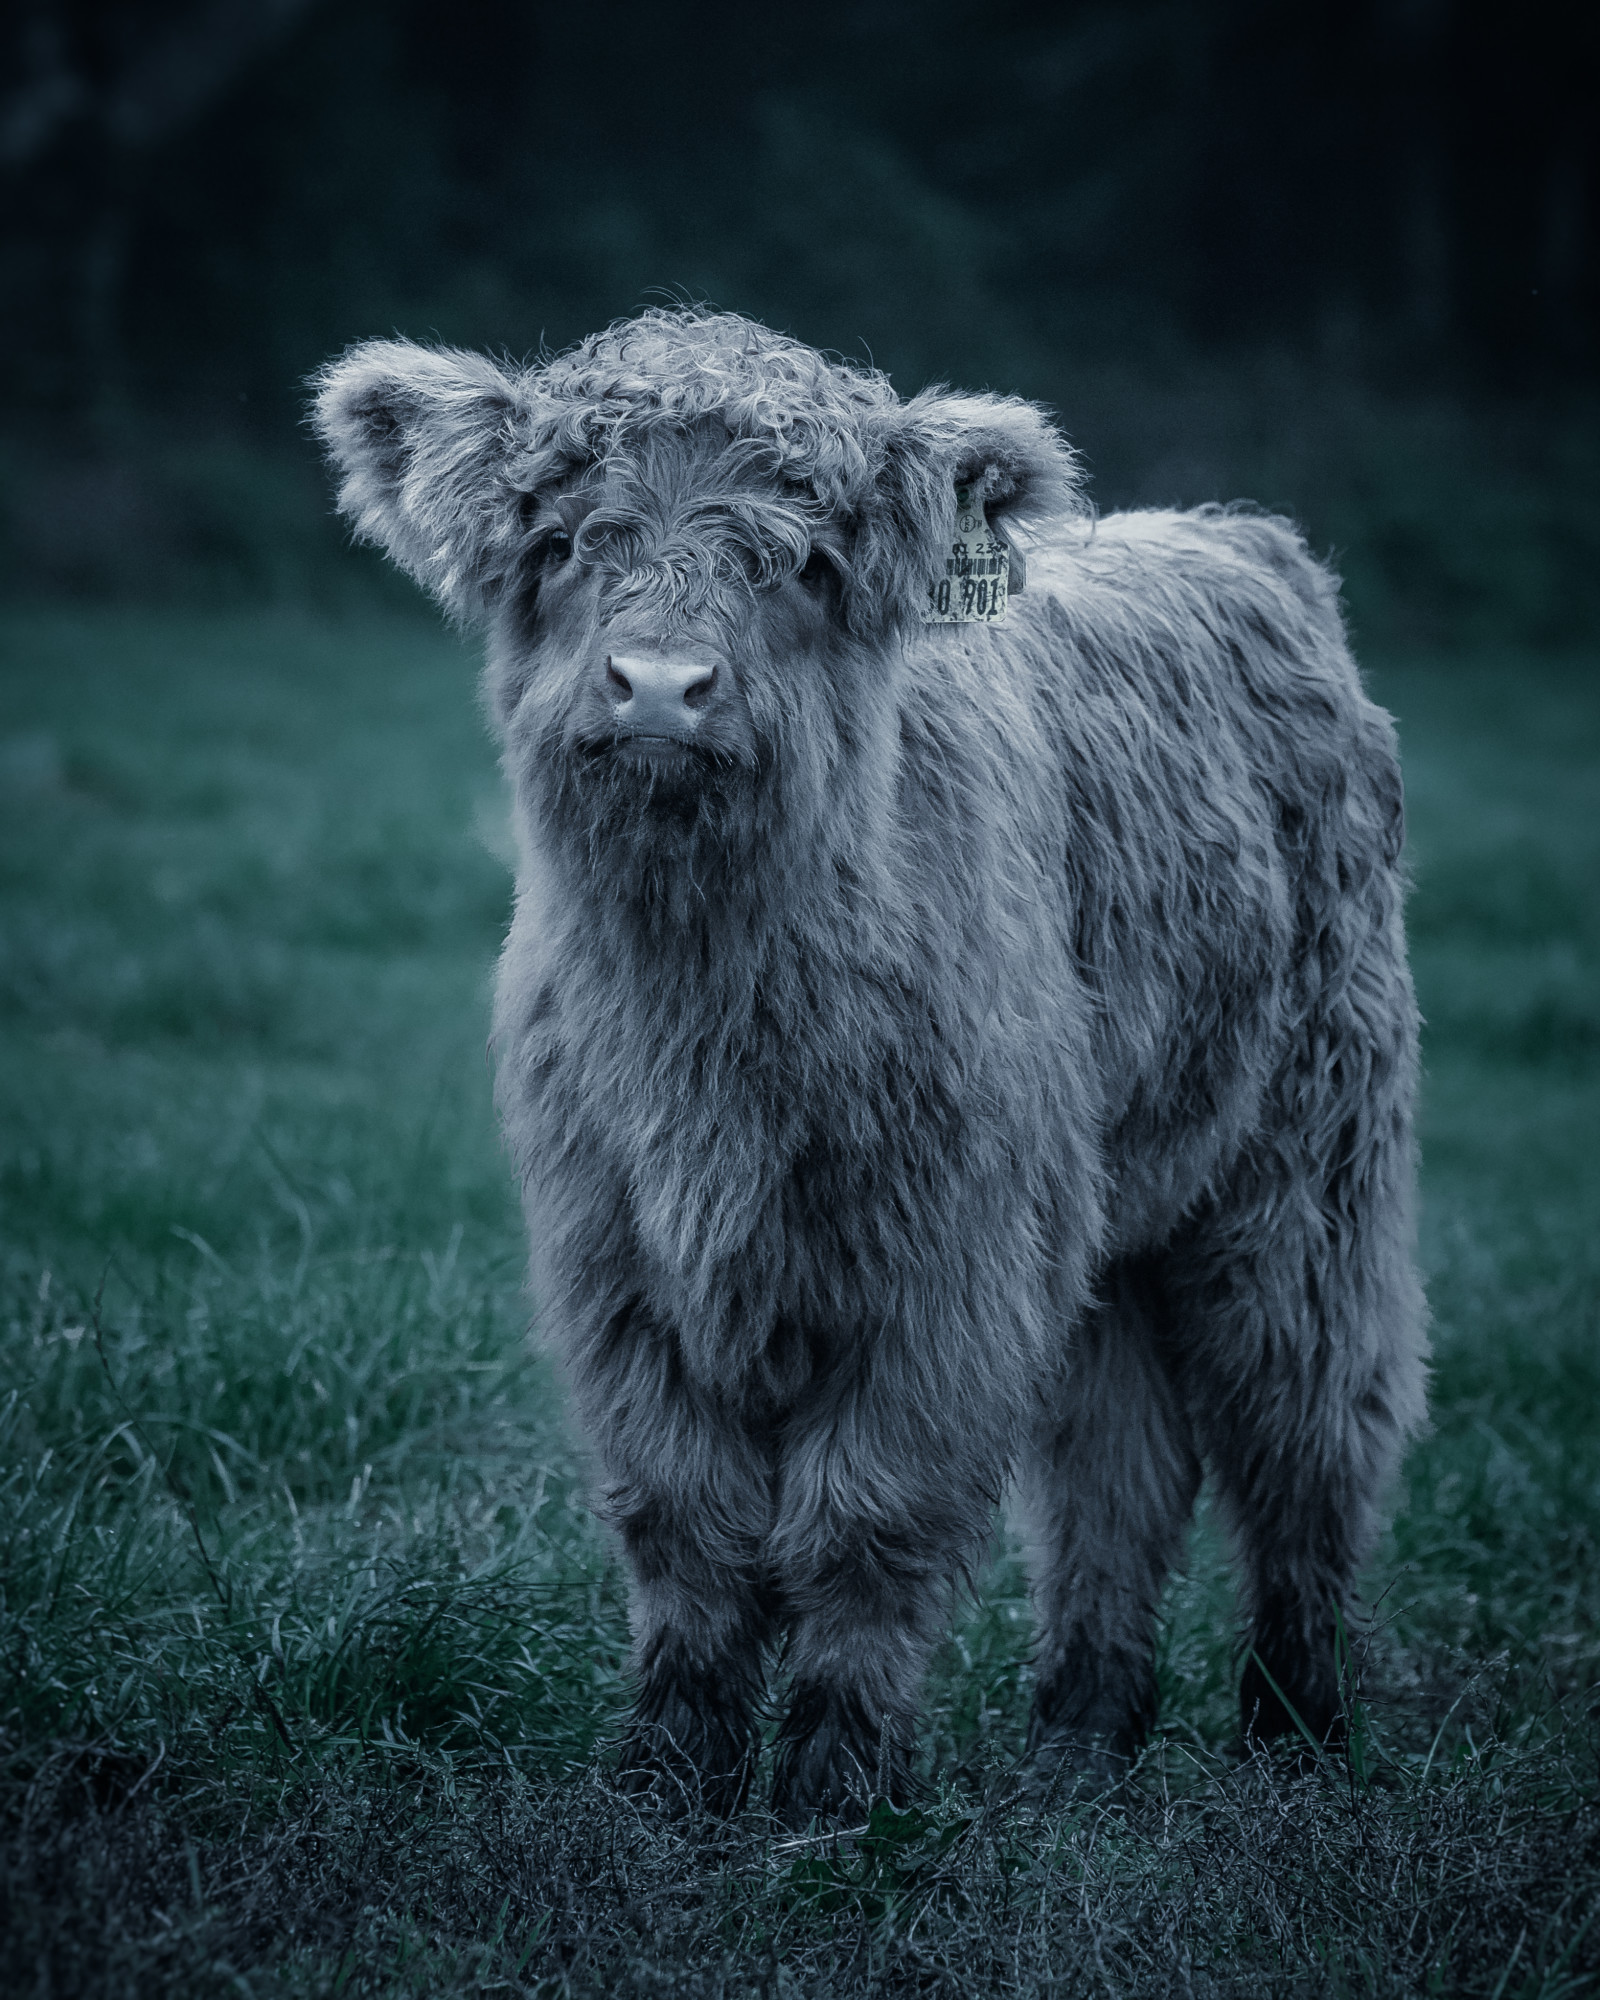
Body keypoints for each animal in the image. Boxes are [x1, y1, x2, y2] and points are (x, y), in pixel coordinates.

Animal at [314, 310, 1428, 1824]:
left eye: (803, 562)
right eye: (569, 542)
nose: (659, 688)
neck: (706, 1029)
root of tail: (1232, 535)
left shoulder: (944, 1271)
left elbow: (863, 1518)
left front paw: (838, 1786)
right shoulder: (618, 1268)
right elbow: (685, 1522)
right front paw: (671, 1771)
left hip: (1309, 1159)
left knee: (1309, 1424)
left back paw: (1299, 1726)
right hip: (1106, 1210)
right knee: (1114, 1460)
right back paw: (1082, 1735)